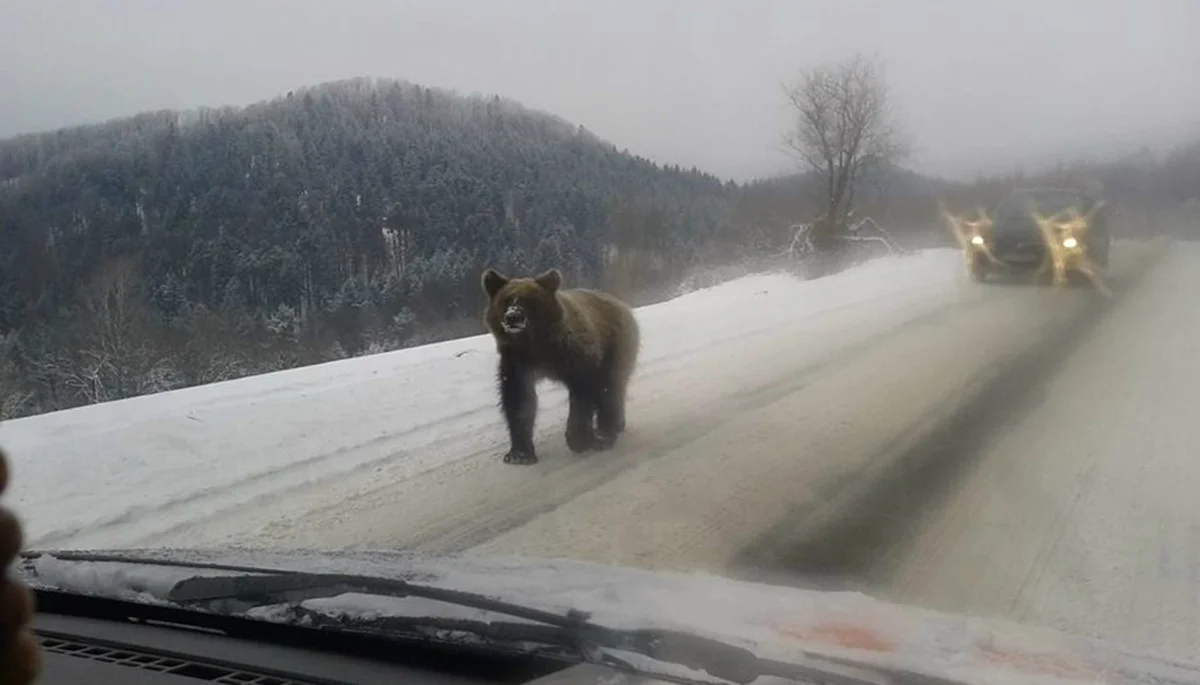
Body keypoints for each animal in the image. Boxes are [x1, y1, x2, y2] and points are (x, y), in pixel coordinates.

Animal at [482, 267, 643, 465]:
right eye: (506, 300)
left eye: (528, 300)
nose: (513, 317)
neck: (536, 346)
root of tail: (622, 305)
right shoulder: (517, 363)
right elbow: (519, 401)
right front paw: (519, 454)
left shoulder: (575, 357)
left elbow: (582, 396)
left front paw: (579, 440)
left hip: (615, 347)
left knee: (610, 388)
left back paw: (606, 433)